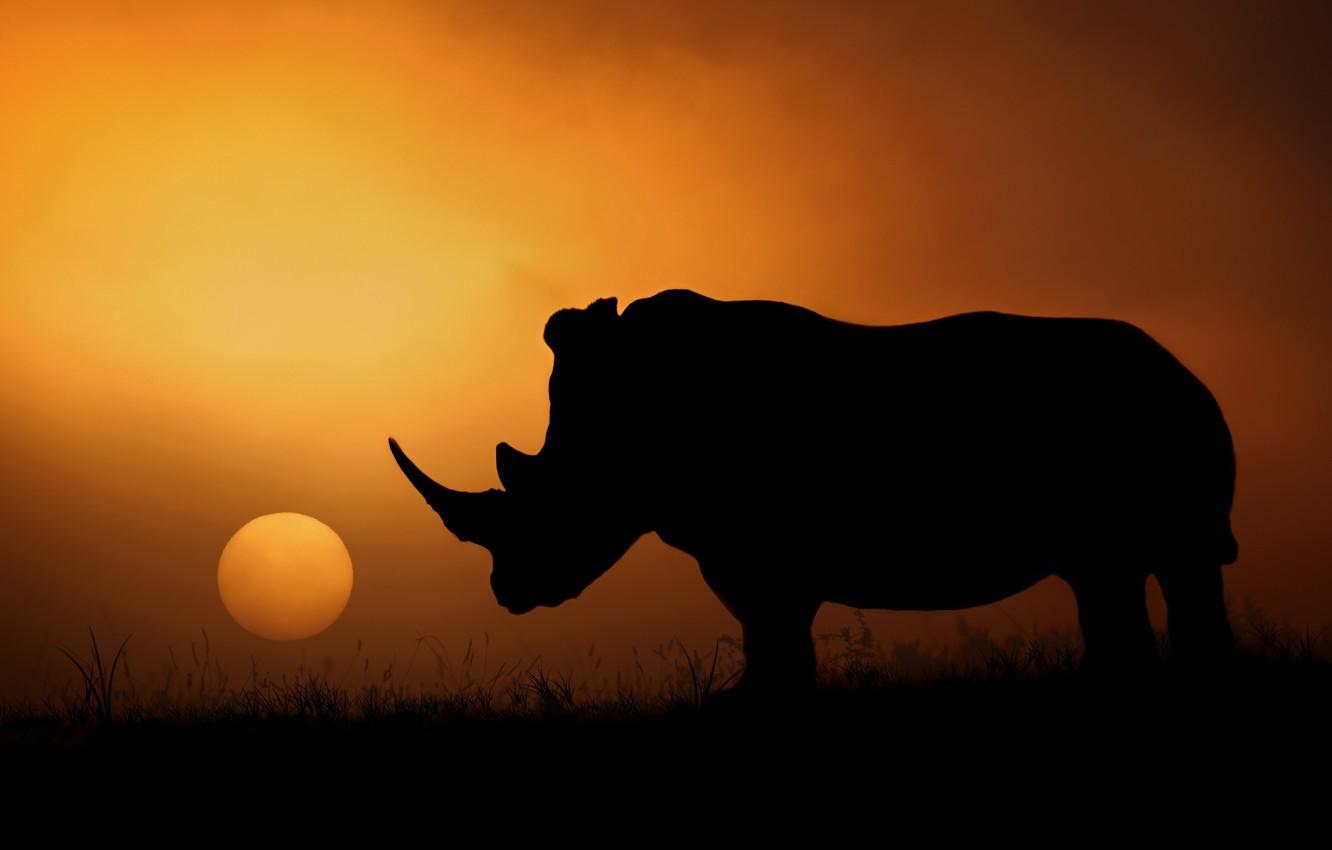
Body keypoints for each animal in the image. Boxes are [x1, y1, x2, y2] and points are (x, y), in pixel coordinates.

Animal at [390, 289, 1237, 695]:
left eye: (548, 506)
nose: (507, 593)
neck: (623, 431)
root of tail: (1187, 370)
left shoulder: (755, 549)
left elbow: (771, 629)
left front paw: (750, 705)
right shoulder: (748, 549)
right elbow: (773, 633)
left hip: (1157, 419)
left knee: (1168, 563)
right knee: (1111, 574)